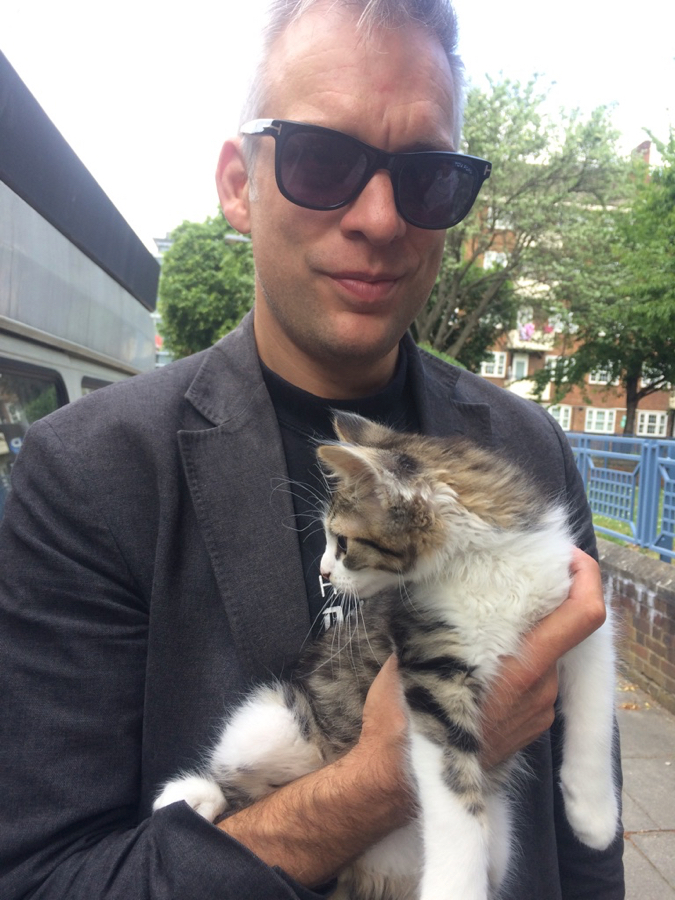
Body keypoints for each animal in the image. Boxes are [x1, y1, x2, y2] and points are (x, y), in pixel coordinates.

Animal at [154, 411, 619, 900]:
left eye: (342, 542)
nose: (324, 572)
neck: (483, 564)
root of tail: (370, 874)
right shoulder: (430, 666)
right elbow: (453, 792)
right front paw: (456, 886)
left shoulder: (583, 615)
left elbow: (594, 709)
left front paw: (593, 812)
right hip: (272, 721)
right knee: (240, 783)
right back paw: (193, 795)